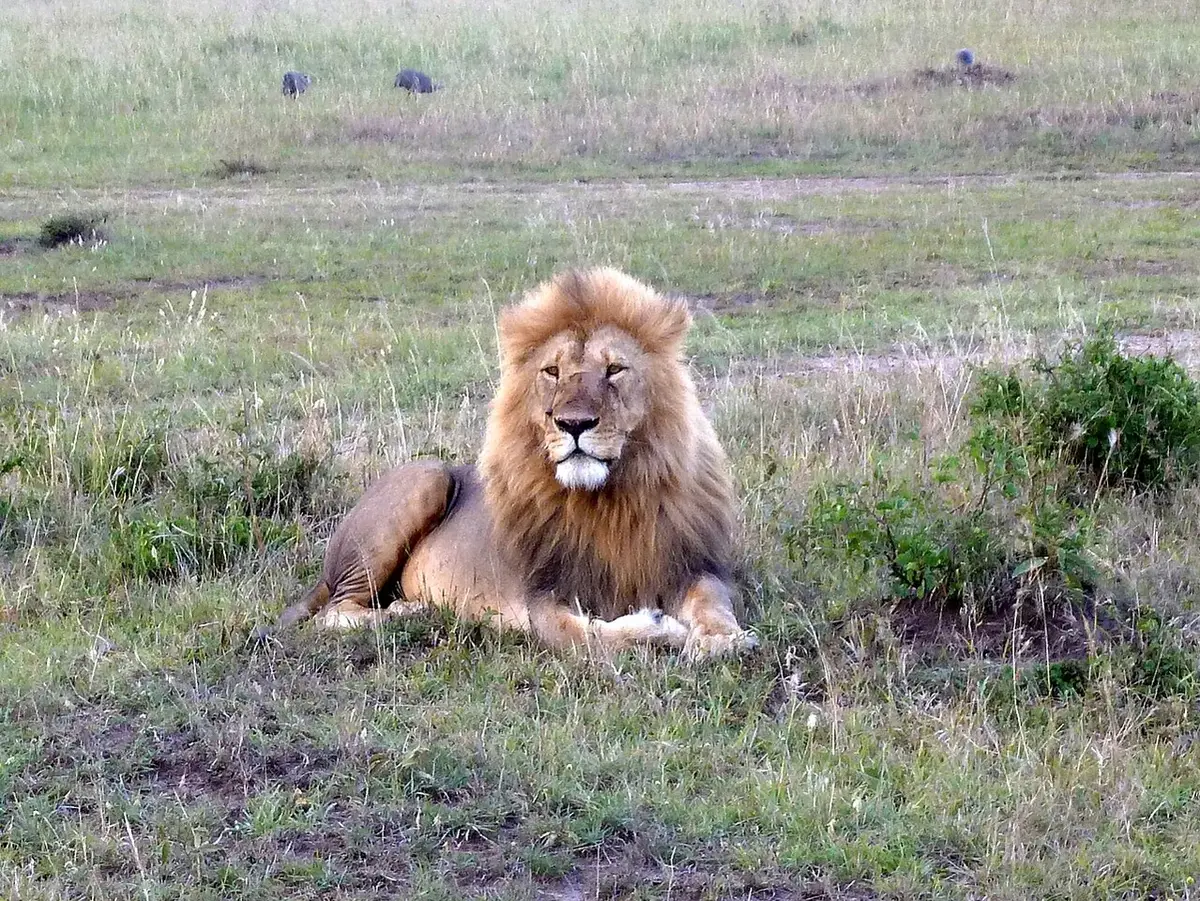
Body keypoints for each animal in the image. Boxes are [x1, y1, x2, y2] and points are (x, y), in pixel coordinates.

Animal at [279, 268, 756, 658]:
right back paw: (412, 612)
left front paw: (723, 639)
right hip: (425, 478)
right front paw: (659, 629)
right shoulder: (542, 598)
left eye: (615, 369)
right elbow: (588, 637)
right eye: (552, 371)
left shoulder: (688, 566)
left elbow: (713, 603)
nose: (573, 424)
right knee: (336, 612)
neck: (608, 502)